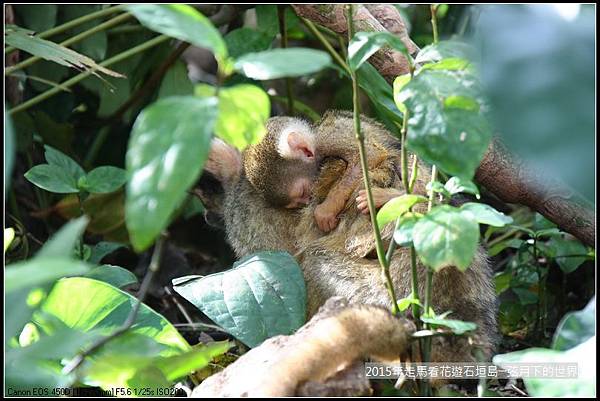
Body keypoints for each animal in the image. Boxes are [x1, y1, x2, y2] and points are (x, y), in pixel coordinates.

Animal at [244, 111, 398, 231]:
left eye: (303, 192)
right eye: (297, 203)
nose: (307, 202)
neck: (315, 132)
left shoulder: (327, 139)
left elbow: (370, 154)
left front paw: (326, 210)